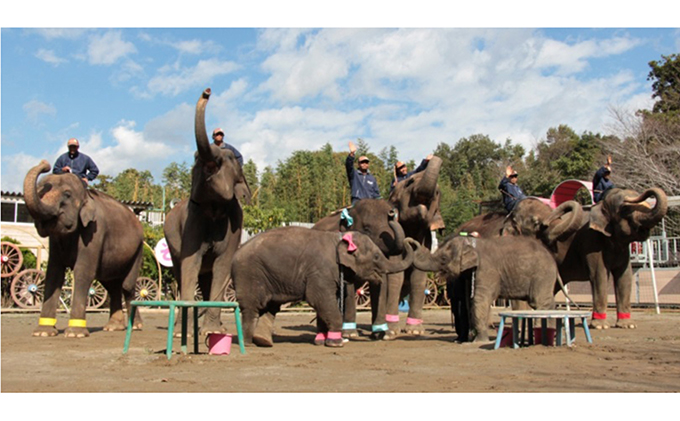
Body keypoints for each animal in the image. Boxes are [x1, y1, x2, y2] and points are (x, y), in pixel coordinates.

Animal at [23, 159, 145, 336]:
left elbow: (83, 272)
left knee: (126, 286)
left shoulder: (94, 232)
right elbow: (54, 273)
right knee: (112, 286)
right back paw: (113, 327)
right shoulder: (55, 241)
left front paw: (75, 333)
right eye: (39, 192)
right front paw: (43, 332)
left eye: (67, 194)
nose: (44, 163)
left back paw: (135, 326)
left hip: (138, 249)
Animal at [163, 88, 251, 334]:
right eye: (195, 158)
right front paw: (184, 332)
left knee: (208, 278)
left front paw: (213, 332)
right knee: (182, 272)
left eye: (230, 158)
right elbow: (190, 263)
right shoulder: (193, 219)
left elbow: (223, 265)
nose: (207, 91)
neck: (214, 207)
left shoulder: (235, 223)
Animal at [231, 228, 414, 346]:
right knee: (252, 307)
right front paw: (336, 342)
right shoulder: (320, 271)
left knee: (270, 307)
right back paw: (248, 343)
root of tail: (236, 253)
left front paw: (321, 341)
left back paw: (263, 342)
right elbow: (319, 299)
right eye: (376, 256)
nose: (410, 240)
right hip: (249, 275)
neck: (338, 239)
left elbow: (325, 303)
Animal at [410, 236, 572, 342]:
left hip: (541, 275)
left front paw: (478, 341)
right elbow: (471, 301)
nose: (411, 242)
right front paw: (473, 339)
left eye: (443, 259)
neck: (472, 244)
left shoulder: (486, 269)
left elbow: (479, 300)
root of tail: (553, 261)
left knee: (539, 302)